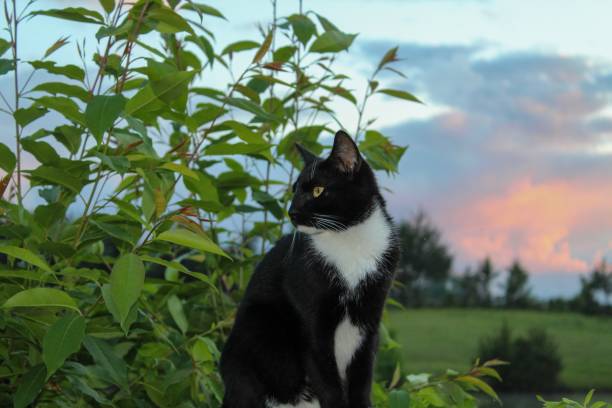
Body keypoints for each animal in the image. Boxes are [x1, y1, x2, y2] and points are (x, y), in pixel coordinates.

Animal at [220, 131, 402, 408]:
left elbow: (362, 382)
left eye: (318, 190)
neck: (349, 241)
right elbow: (328, 385)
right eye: (294, 190)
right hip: (257, 334)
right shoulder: (312, 324)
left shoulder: (370, 320)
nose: (291, 212)